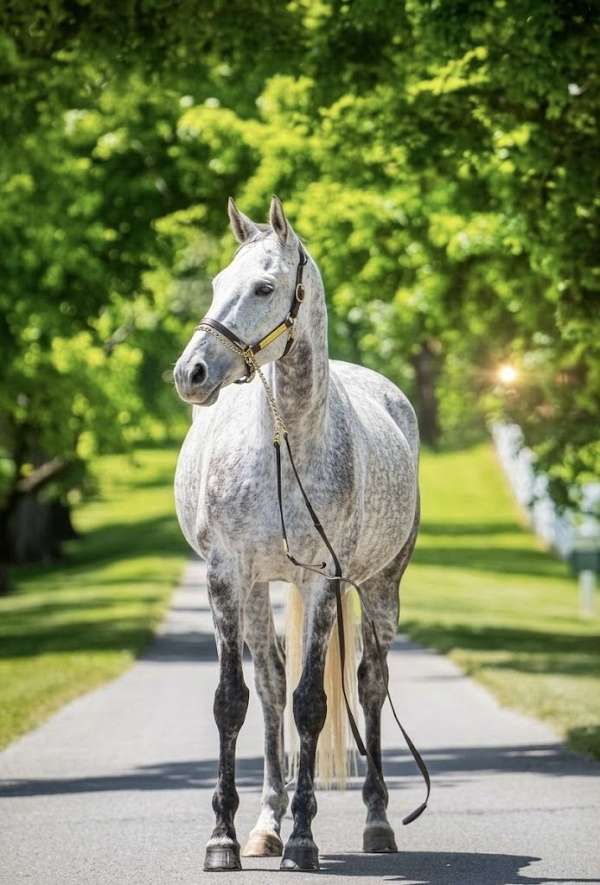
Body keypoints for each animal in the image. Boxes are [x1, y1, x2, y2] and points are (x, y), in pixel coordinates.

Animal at [173, 196, 420, 872]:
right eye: (216, 283)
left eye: (264, 287)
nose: (190, 373)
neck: (283, 445)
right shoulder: (226, 577)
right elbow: (234, 700)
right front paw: (224, 839)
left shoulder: (326, 580)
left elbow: (314, 703)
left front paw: (305, 842)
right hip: (262, 590)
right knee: (270, 685)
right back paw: (265, 826)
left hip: (379, 588)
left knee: (369, 685)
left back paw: (378, 823)